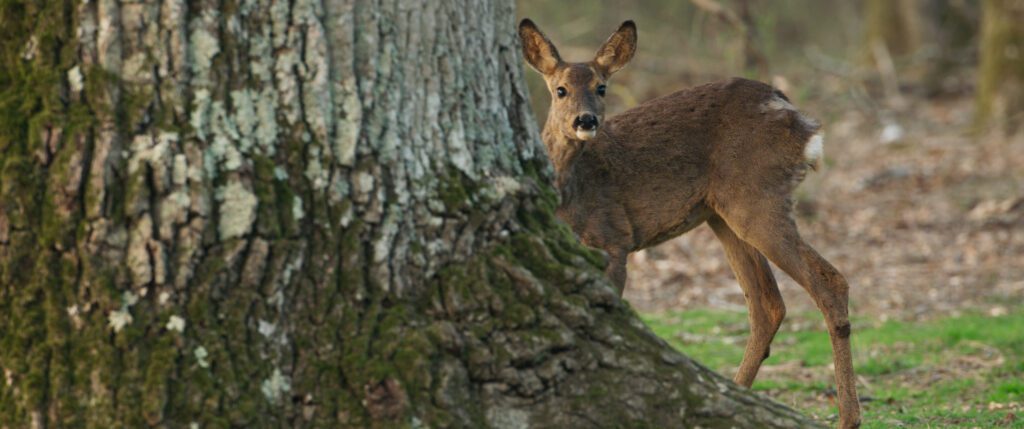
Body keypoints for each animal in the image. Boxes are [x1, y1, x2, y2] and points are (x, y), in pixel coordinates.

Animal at [520, 18, 864, 427]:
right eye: (560, 90)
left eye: (601, 87)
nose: (586, 120)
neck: (570, 191)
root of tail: (803, 124)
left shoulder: (614, 238)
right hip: (722, 213)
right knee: (767, 304)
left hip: (756, 199)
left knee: (829, 282)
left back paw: (847, 417)